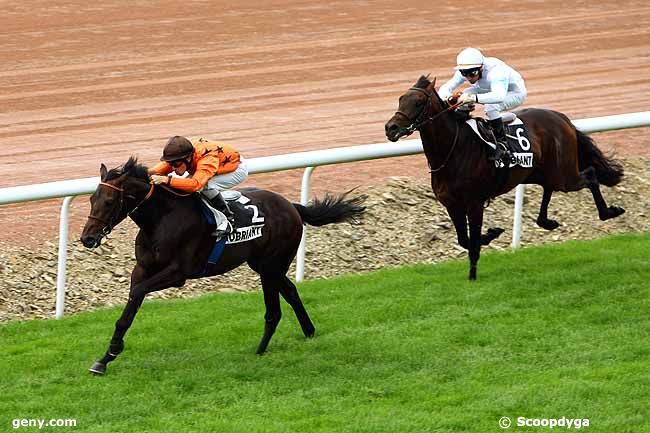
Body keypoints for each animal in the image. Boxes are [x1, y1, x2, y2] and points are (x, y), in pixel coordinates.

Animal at [79, 157, 364, 372]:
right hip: (265, 265)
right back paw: (309, 332)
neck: (161, 219)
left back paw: (259, 352)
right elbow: (129, 308)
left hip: (271, 266)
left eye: (109, 201)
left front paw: (112, 353)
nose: (87, 238)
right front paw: (106, 358)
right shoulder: (142, 269)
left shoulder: (177, 273)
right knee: (292, 292)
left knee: (274, 310)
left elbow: (138, 293)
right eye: (92, 200)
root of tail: (293, 206)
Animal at [384, 75, 624, 278]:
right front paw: (491, 234)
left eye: (418, 102)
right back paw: (547, 221)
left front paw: (473, 275)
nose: (390, 128)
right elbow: (464, 239)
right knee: (550, 187)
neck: (452, 151)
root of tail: (562, 118)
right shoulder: (452, 205)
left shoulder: (474, 203)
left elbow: (472, 242)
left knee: (590, 176)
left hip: (564, 175)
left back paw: (608, 212)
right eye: (400, 99)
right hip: (540, 172)